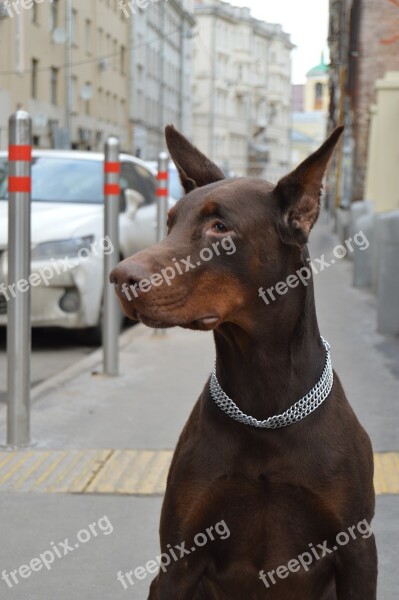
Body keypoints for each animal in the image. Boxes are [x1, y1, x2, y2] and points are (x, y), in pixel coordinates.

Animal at [110, 125, 378, 596]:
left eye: (220, 227)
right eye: (170, 222)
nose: (120, 277)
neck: (264, 406)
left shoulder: (358, 552)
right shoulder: (178, 559)